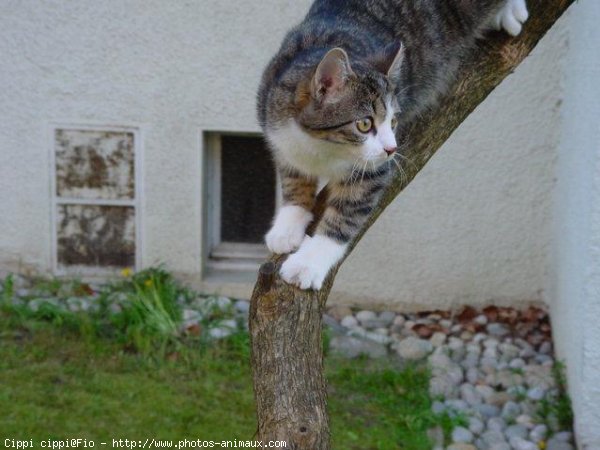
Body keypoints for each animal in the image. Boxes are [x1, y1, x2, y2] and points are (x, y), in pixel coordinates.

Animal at [255, 0, 528, 290]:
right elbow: (293, 176)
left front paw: (309, 263)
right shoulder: (278, 130)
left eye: (393, 121)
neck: (321, 147)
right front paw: (289, 222)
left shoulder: (371, 171)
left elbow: (347, 212)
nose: (391, 149)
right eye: (365, 124)